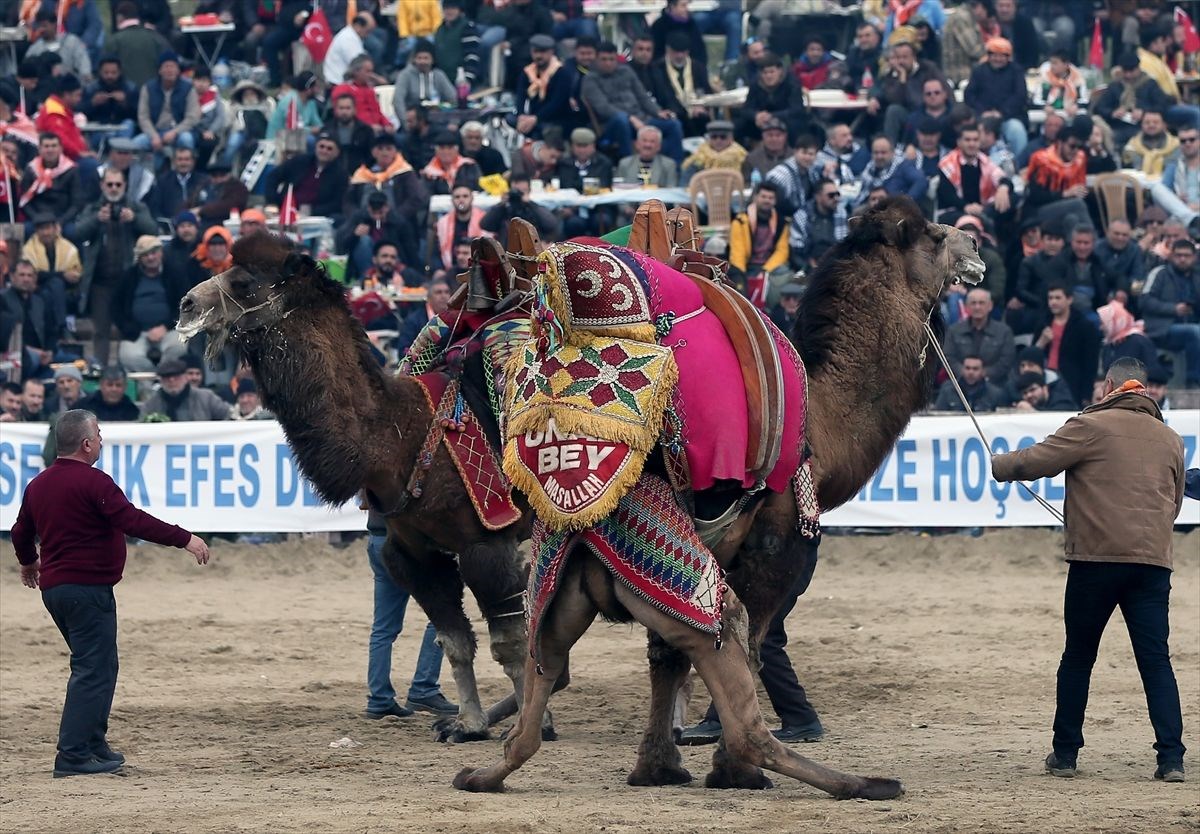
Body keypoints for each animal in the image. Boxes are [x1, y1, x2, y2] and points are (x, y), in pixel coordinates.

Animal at [175, 232, 552, 744]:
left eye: (244, 281)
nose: (187, 304)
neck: (399, 439)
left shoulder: (485, 543)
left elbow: (509, 645)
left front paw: (523, 731)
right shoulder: (413, 554)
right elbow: (454, 641)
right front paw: (468, 725)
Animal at [451, 196, 984, 801]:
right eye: (935, 237)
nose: (974, 243)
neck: (822, 429)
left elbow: (664, 658)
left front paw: (657, 766)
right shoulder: (773, 548)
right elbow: (752, 644)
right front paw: (714, 767)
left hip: (563, 581)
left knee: (535, 693)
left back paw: (480, 770)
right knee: (745, 702)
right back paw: (846, 780)